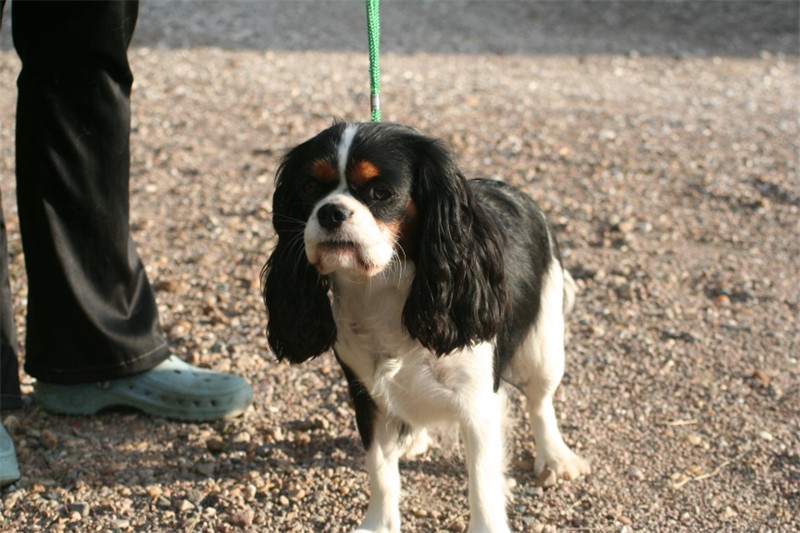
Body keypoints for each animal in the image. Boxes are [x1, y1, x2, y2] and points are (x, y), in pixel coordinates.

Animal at [262, 121, 588, 532]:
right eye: (308, 188)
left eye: (380, 193)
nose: (330, 212)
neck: (381, 286)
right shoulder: (366, 395)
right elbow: (381, 471)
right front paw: (377, 524)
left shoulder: (479, 403)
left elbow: (482, 483)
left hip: (544, 345)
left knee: (540, 401)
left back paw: (556, 458)